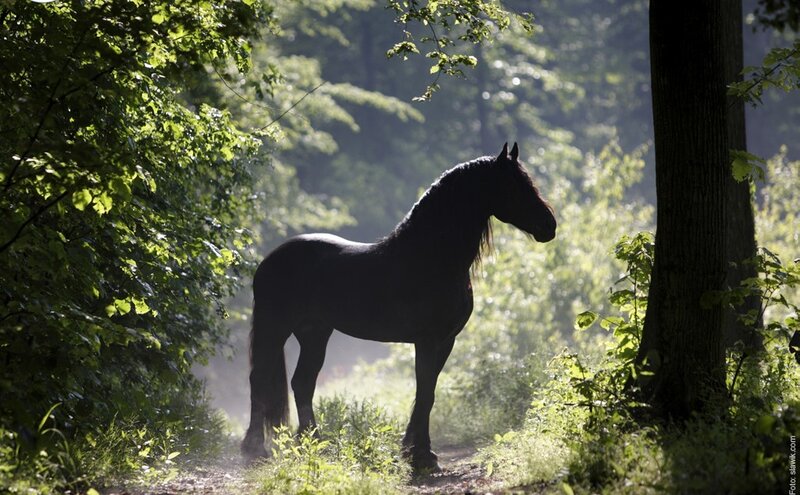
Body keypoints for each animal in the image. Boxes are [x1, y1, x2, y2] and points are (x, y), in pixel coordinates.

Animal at [241, 142, 557, 471]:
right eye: (515, 186)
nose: (550, 226)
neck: (429, 257)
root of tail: (269, 259)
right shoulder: (428, 340)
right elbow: (425, 392)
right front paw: (421, 457)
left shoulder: (445, 341)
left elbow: (427, 392)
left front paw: (416, 451)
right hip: (274, 328)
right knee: (259, 380)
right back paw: (255, 448)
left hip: (314, 334)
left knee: (303, 383)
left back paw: (311, 444)